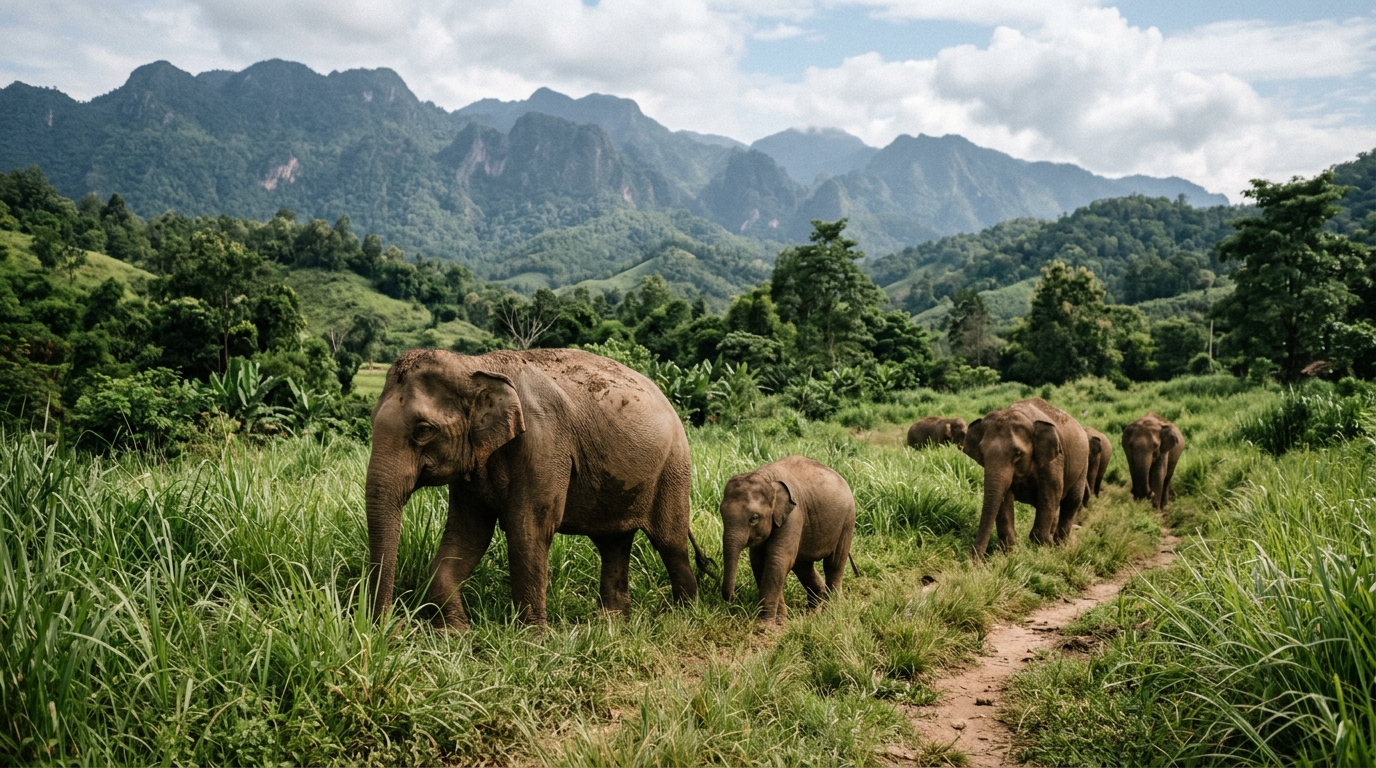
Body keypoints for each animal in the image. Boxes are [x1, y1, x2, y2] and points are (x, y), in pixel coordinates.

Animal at [365, 348, 709, 629]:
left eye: (424, 430)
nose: (391, 629)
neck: (475, 364)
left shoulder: (544, 443)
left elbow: (528, 528)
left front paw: (532, 640)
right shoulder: (475, 462)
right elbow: (468, 533)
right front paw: (455, 634)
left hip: (673, 467)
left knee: (669, 541)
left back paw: (683, 615)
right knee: (613, 542)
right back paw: (611, 623)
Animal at [719, 455, 858, 623]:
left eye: (754, 518)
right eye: (721, 513)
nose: (734, 597)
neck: (767, 478)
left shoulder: (794, 515)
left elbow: (778, 559)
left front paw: (766, 623)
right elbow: (759, 562)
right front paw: (780, 619)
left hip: (847, 520)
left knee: (833, 563)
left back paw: (830, 612)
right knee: (802, 565)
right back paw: (813, 610)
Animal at [961, 398, 1090, 559]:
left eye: (1017, 453)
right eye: (982, 453)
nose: (972, 560)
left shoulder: (1054, 461)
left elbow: (1051, 493)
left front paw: (1045, 549)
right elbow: (1004, 498)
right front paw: (1009, 555)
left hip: (1083, 464)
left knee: (1071, 502)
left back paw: (1060, 546)